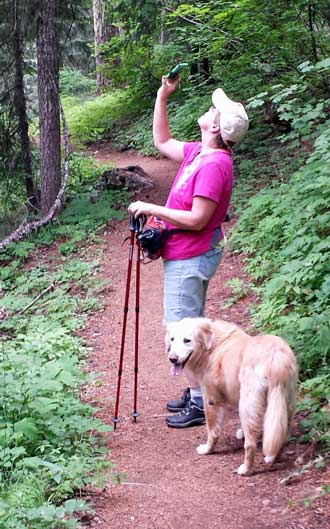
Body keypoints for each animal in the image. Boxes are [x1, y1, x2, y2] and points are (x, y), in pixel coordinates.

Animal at [166, 318, 298, 474]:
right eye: (172, 339)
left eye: (187, 340)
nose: (172, 359)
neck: (212, 345)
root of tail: (276, 358)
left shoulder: (211, 399)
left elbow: (212, 431)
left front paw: (207, 449)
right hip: (285, 404)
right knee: (281, 435)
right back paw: (272, 458)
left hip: (247, 404)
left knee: (250, 444)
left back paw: (246, 470)